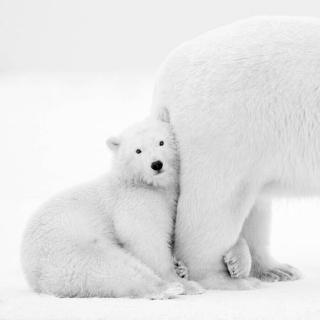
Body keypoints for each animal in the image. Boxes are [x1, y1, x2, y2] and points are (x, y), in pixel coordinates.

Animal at [21, 116, 202, 298]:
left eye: (161, 142)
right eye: (138, 150)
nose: (156, 164)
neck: (139, 182)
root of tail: (34, 277)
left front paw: (180, 268)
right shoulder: (134, 202)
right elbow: (146, 239)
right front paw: (179, 279)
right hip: (70, 248)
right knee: (112, 267)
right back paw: (169, 288)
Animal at [151, 15, 316, 290]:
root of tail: (166, 79)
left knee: (255, 205)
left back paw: (275, 269)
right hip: (229, 130)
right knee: (214, 206)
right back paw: (228, 280)